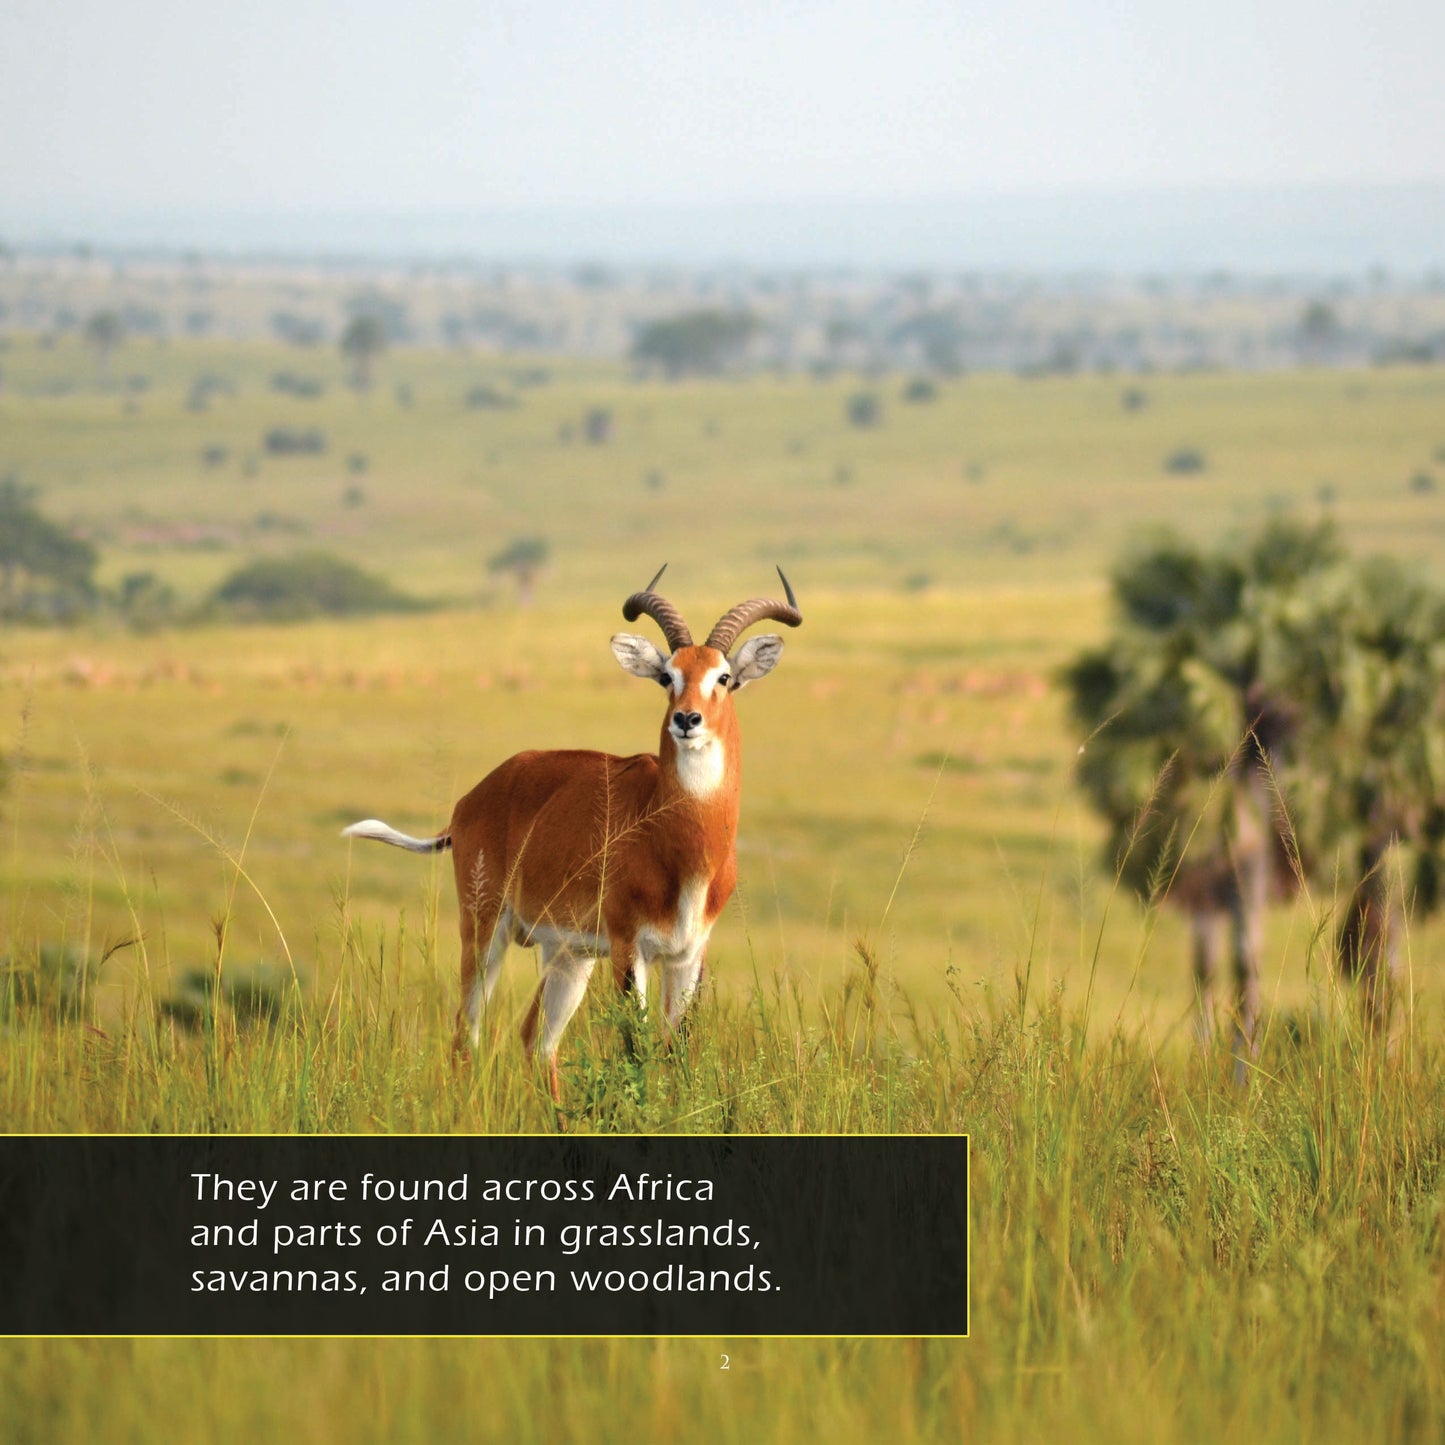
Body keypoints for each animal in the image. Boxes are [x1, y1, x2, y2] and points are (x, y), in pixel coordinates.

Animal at [341, 567, 802, 1099]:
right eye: (668, 675)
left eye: (724, 677)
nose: (687, 720)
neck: (679, 845)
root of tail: (470, 800)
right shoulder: (629, 947)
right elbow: (634, 1048)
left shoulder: (688, 954)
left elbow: (676, 1053)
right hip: (486, 931)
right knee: (466, 1033)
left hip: (569, 954)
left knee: (536, 1040)